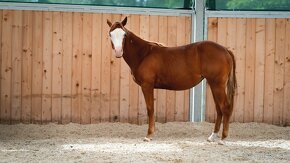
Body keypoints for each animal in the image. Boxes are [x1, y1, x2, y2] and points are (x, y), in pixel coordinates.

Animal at [106, 16, 236, 144]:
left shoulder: (147, 85)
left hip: (217, 85)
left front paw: (149, 135)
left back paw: (223, 138)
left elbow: (150, 109)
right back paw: (212, 136)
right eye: (110, 34)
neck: (144, 54)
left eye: (124, 35)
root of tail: (225, 50)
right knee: (219, 108)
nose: (118, 52)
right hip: (214, 85)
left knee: (225, 107)